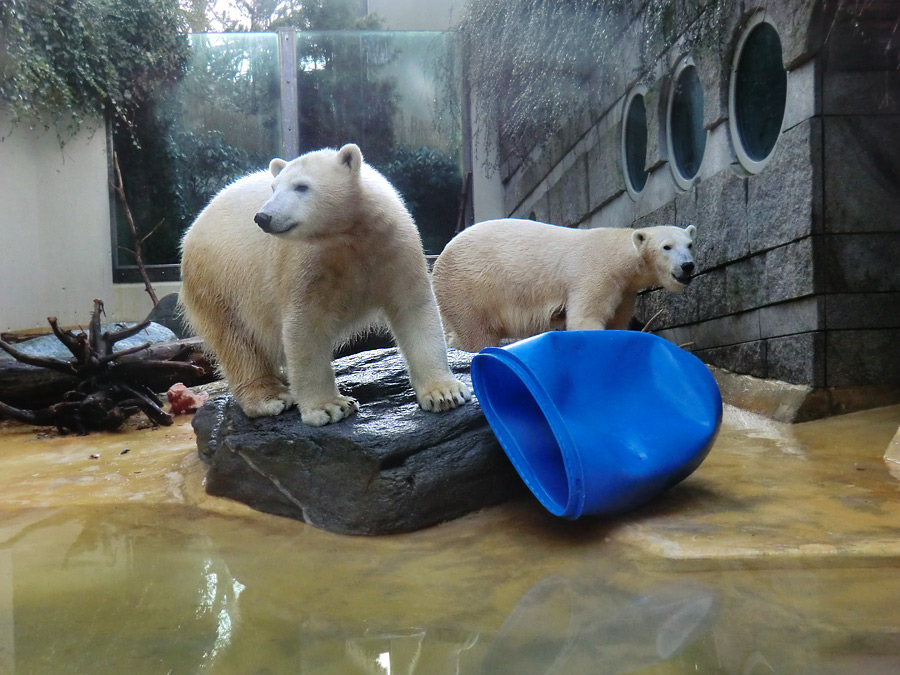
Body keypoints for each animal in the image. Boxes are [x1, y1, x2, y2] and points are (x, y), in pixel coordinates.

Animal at [178, 144, 472, 428]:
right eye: (274, 188)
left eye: (301, 186)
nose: (263, 217)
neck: (350, 236)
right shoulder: (307, 265)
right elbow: (305, 327)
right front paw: (330, 407)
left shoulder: (394, 249)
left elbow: (414, 309)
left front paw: (444, 393)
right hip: (221, 280)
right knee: (237, 340)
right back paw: (269, 397)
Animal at [432, 220, 700, 354]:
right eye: (667, 247)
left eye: (689, 244)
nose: (687, 266)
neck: (619, 258)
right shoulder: (595, 275)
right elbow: (585, 318)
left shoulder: (624, 291)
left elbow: (618, 321)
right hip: (471, 287)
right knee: (477, 332)